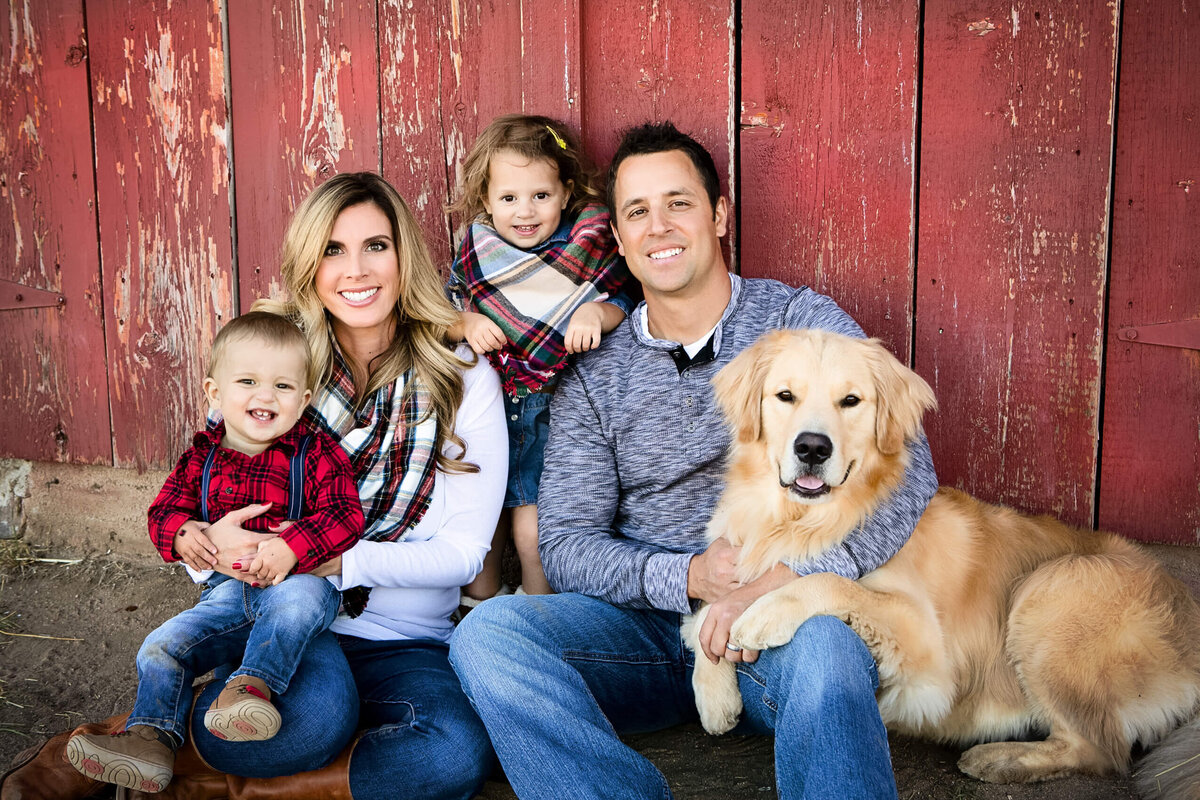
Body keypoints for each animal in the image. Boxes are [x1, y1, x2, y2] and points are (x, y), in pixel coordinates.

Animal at [686, 328, 1200, 796]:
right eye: (785, 396)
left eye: (851, 401)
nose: (812, 447)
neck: (798, 521)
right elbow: (709, 610)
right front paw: (713, 694)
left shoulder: (923, 643)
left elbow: (829, 581)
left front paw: (762, 613)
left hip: (1048, 588)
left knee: (1099, 750)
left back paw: (1000, 758)